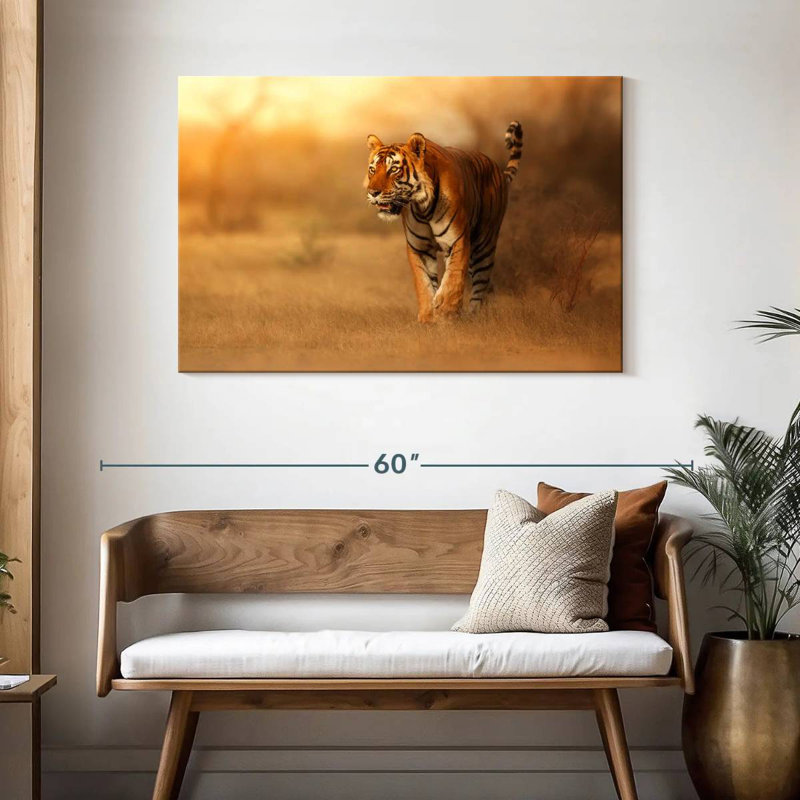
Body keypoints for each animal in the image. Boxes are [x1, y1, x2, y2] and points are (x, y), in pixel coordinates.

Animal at [364, 121, 522, 322]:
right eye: (372, 169)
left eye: (393, 169)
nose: (372, 192)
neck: (422, 207)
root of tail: (498, 170)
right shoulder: (419, 248)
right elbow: (423, 283)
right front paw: (427, 317)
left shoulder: (457, 240)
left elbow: (453, 278)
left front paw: (446, 312)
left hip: (484, 245)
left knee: (481, 284)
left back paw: (473, 316)